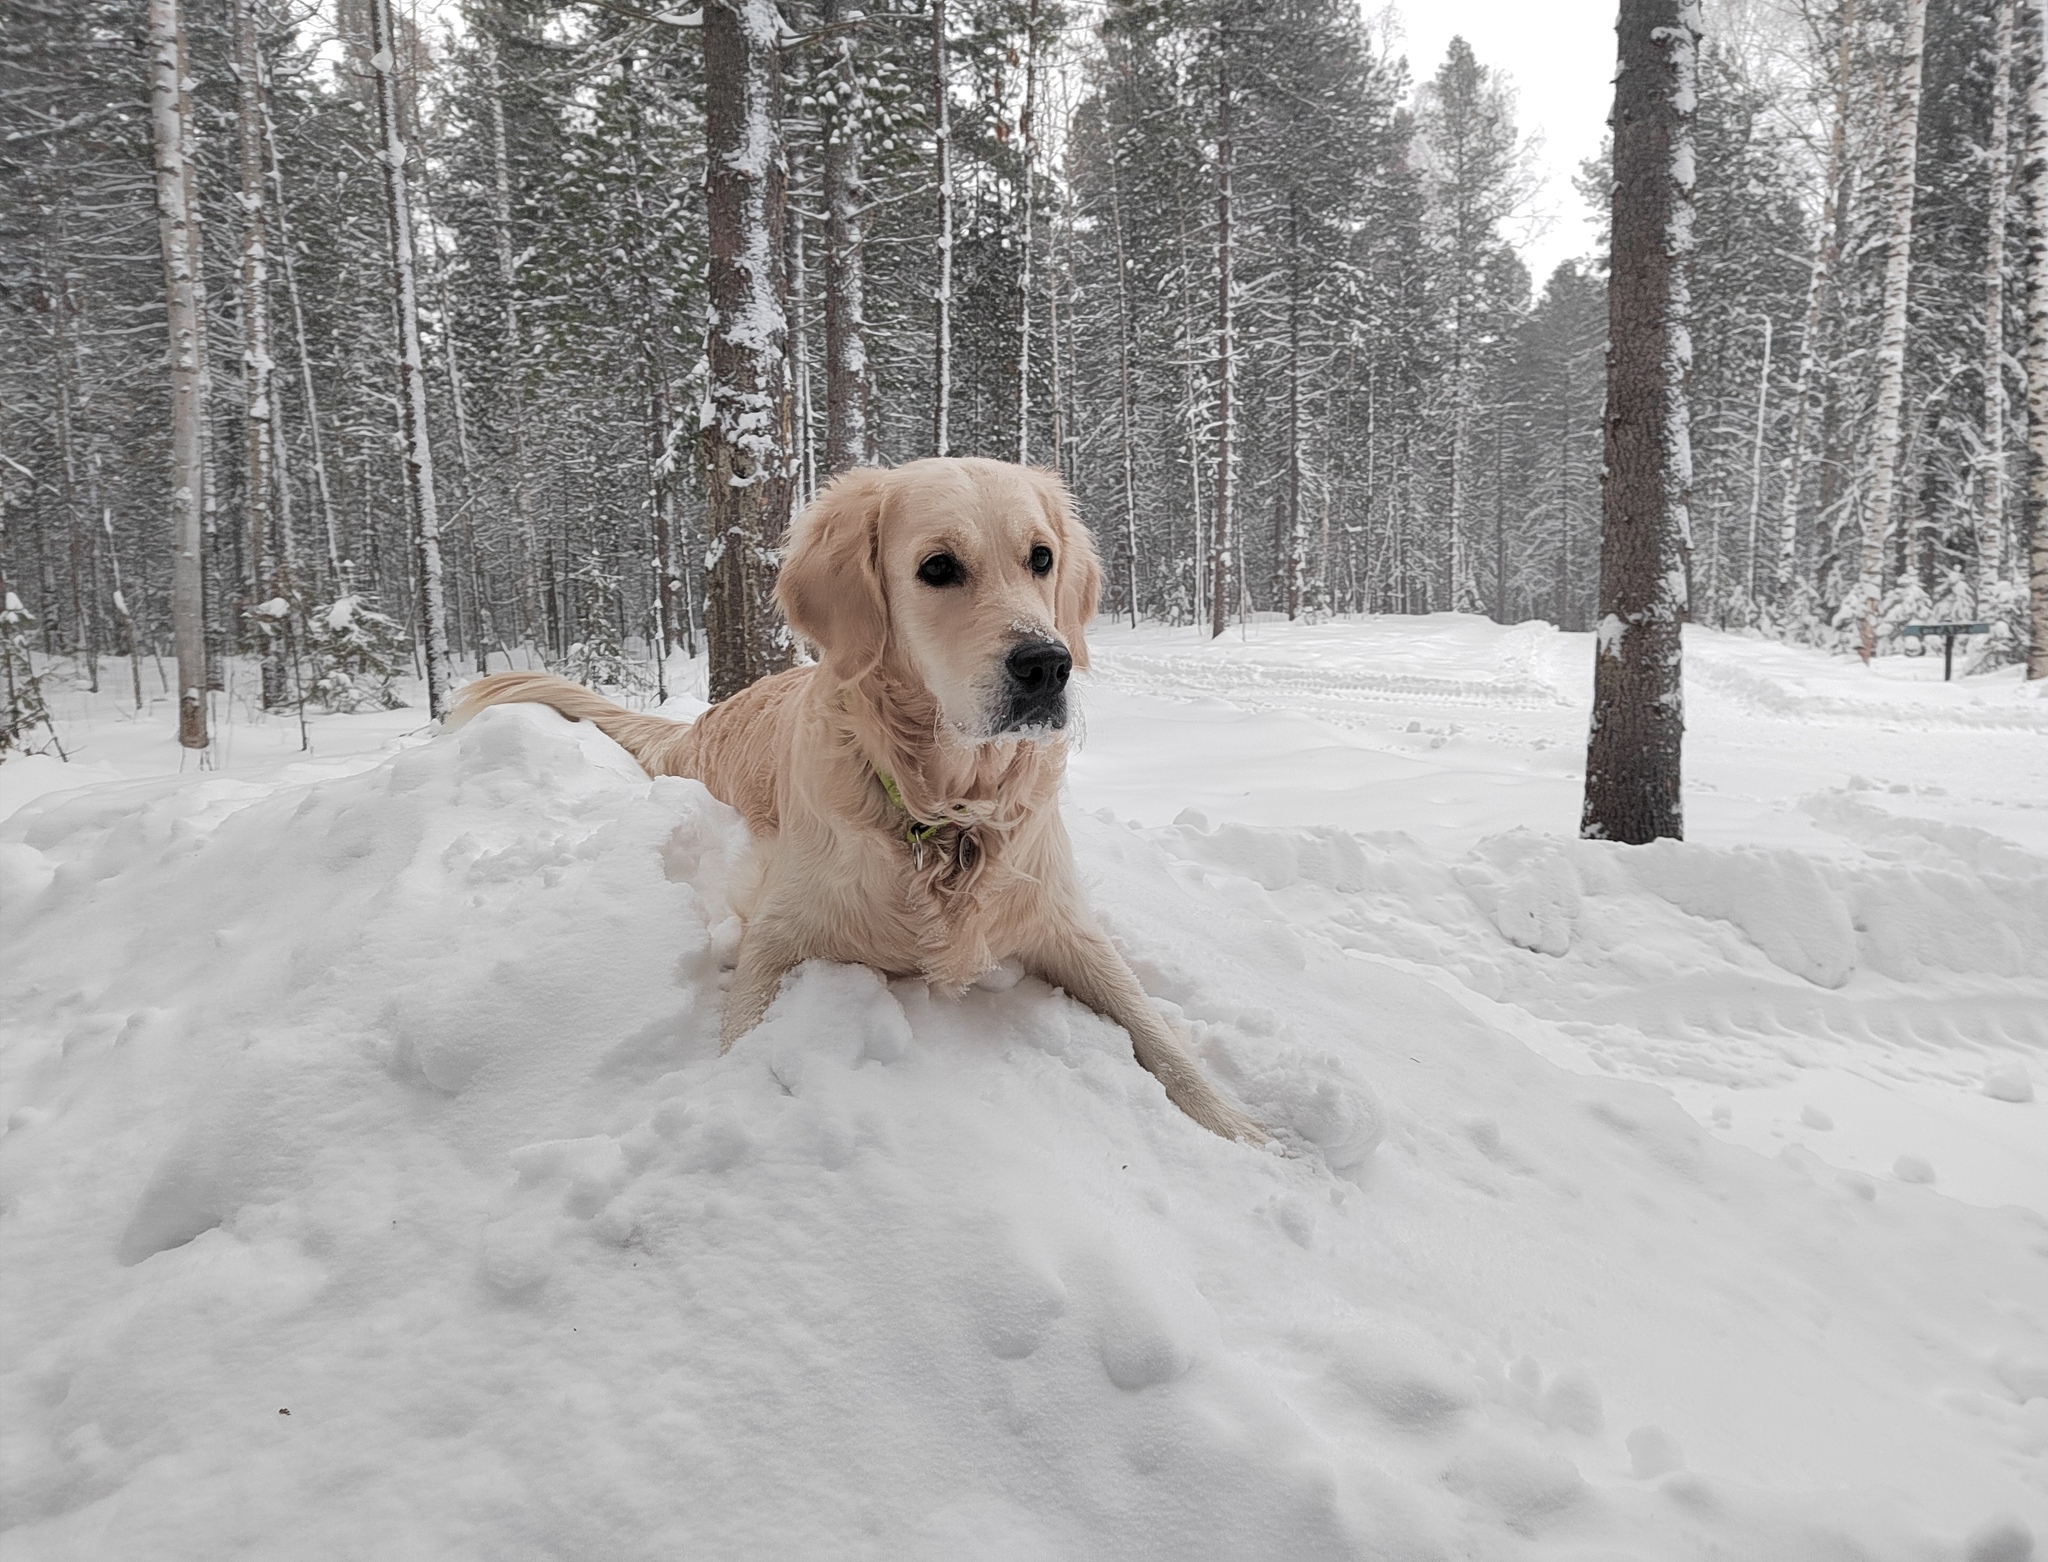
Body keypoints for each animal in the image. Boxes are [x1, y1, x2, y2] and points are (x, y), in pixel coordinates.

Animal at [448, 458, 1261, 1146]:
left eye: (1041, 558)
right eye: (938, 567)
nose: (1048, 664)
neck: (944, 814)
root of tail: (707, 718)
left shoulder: (1065, 923)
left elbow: (1157, 1032)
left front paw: (1245, 1132)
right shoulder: (776, 933)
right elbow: (741, 1034)